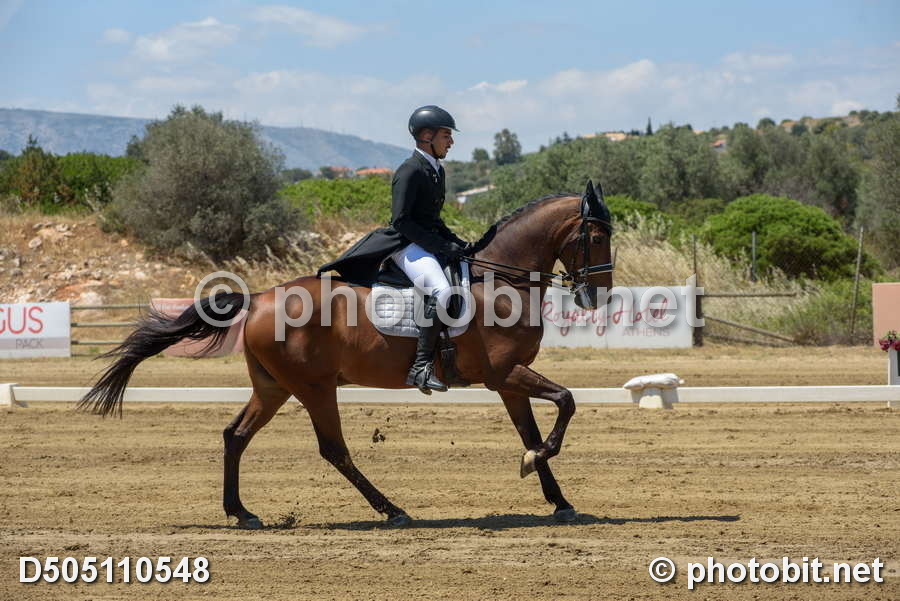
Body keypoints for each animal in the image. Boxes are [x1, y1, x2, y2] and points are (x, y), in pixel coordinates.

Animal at [78, 181, 614, 528]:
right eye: (596, 236)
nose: (598, 296)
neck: (500, 279)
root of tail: (260, 297)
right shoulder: (503, 373)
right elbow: (566, 401)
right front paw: (534, 465)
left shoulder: (507, 381)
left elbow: (534, 430)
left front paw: (558, 498)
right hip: (313, 387)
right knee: (333, 449)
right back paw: (392, 511)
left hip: (273, 387)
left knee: (236, 435)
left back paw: (243, 513)